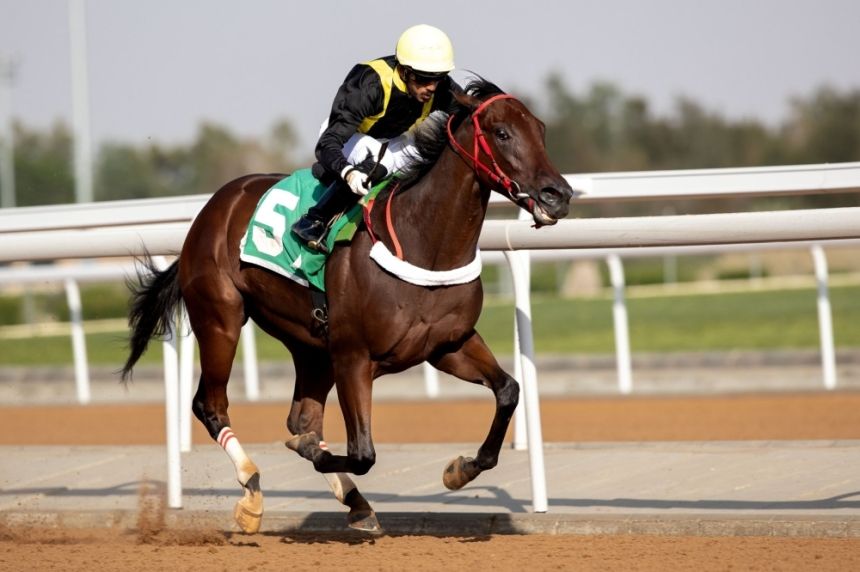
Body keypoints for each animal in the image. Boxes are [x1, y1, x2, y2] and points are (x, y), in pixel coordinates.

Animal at [121, 78, 576, 536]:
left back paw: (356, 503)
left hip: (310, 345)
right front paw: (314, 454)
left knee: (302, 418)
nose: (558, 195)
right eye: (502, 133)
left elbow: (508, 390)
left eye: (541, 130)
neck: (422, 241)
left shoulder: (448, 345)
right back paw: (251, 492)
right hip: (222, 319)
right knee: (211, 405)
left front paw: (460, 469)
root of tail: (213, 208)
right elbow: (362, 453)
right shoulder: (354, 356)